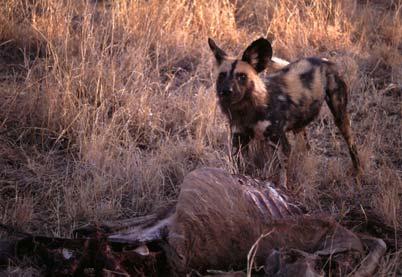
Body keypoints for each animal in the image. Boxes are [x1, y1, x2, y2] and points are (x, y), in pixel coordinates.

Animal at [209, 36, 362, 183]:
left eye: (242, 76)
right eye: (222, 75)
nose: (226, 91)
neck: (245, 110)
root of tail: (323, 60)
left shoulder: (280, 143)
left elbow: (282, 175)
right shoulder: (239, 141)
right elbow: (239, 170)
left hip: (339, 116)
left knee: (351, 143)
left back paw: (358, 173)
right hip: (300, 124)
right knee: (306, 147)